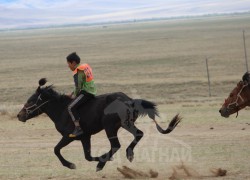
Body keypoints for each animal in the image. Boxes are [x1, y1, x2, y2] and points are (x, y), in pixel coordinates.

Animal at [18, 79, 182, 172]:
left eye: (31, 101)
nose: (19, 116)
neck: (62, 110)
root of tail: (129, 100)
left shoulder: (68, 136)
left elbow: (56, 150)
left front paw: (71, 165)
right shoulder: (85, 137)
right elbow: (88, 156)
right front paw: (101, 159)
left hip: (110, 127)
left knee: (116, 145)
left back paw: (103, 163)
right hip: (125, 124)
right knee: (139, 134)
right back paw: (128, 154)